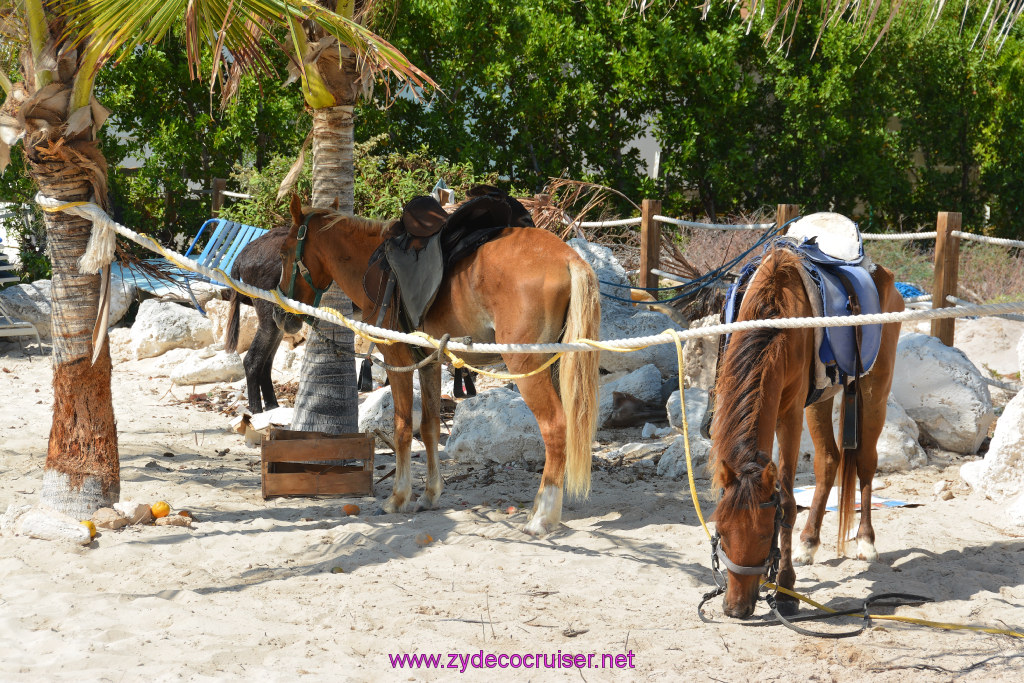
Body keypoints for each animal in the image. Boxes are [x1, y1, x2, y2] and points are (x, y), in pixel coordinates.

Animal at [276, 193, 602, 540]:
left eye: (283, 252)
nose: (281, 315)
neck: (372, 262)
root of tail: (568, 257)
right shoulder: (429, 363)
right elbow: (430, 426)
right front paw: (430, 494)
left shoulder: (398, 361)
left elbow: (403, 427)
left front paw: (398, 497)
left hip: (527, 368)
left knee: (555, 427)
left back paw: (543, 516)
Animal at [708, 241, 901, 618]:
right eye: (721, 530)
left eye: (763, 535)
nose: (736, 609)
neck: (775, 319)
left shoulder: (789, 414)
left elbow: (785, 500)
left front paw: (785, 590)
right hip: (820, 399)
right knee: (829, 461)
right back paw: (808, 543)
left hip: (875, 390)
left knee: (865, 462)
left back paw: (866, 541)